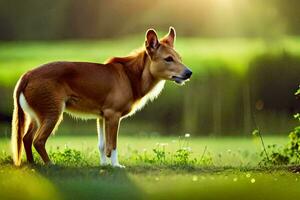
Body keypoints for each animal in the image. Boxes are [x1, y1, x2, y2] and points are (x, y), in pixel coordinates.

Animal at [11, 26, 192, 167]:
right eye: (168, 59)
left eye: (180, 58)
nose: (189, 73)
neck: (130, 76)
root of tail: (28, 74)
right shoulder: (113, 116)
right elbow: (112, 145)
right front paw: (115, 166)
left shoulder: (101, 117)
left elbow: (102, 145)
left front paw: (104, 165)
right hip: (52, 113)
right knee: (38, 141)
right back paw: (50, 164)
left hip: (36, 116)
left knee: (26, 138)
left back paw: (33, 164)